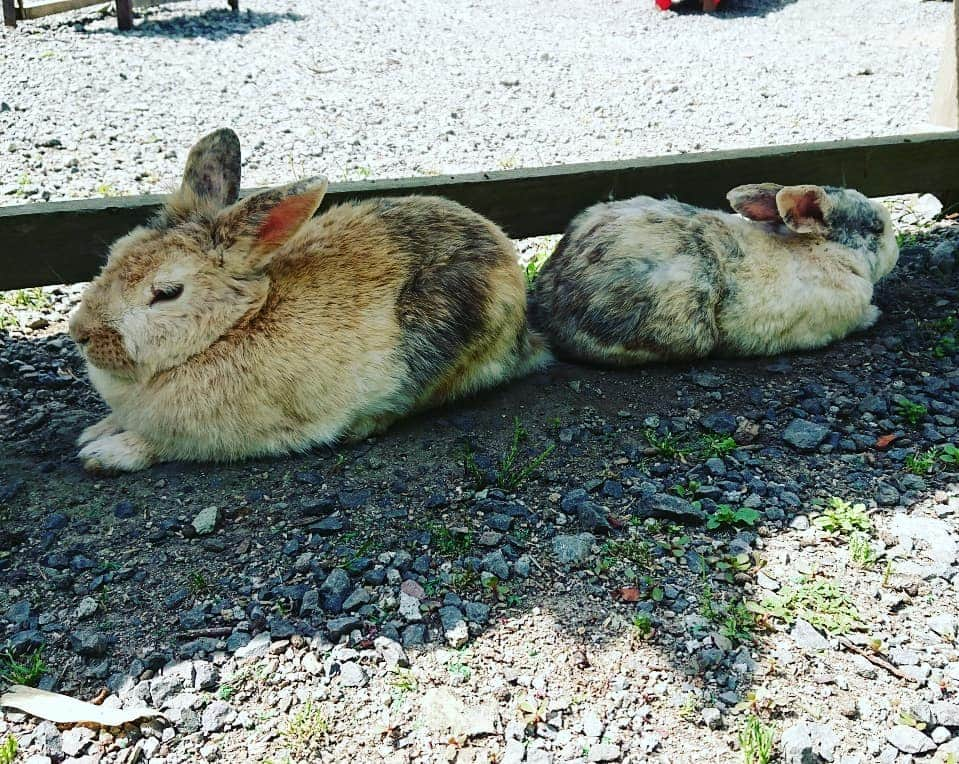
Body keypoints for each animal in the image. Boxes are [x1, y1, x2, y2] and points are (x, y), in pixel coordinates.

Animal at [69, 128, 548, 472]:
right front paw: (94, 432)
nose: (79, 333)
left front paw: (103, 455)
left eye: (167, 293)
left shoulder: (217, 438)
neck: (231, 328)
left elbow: (159, 446)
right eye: (113, 254)